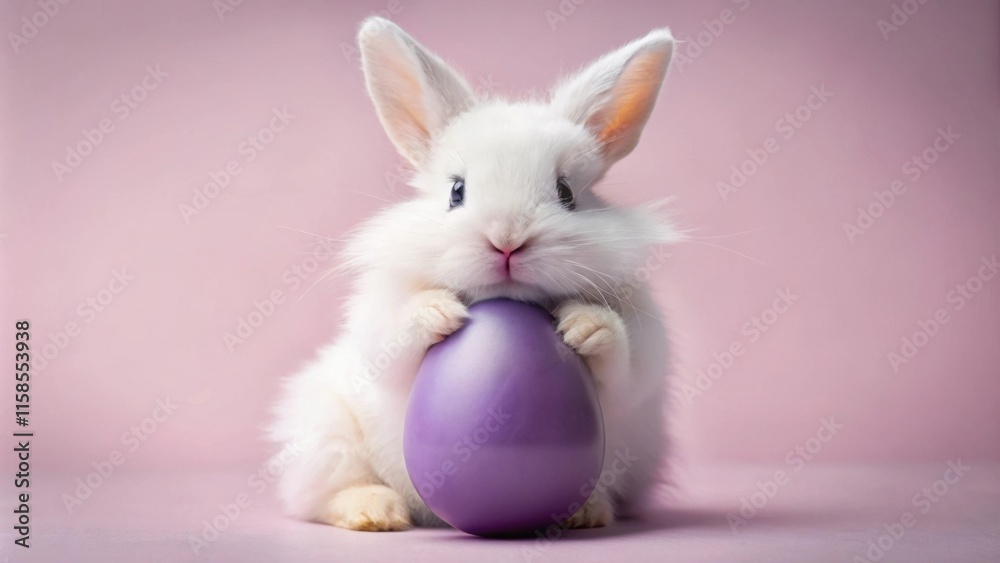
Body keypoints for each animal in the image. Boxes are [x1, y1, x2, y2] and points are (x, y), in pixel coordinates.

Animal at [268, 16, 680, 531]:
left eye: (566, 193)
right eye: (456, 192)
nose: (507, 240)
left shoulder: (644, 347)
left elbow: (627, 367)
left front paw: (585, 325)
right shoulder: (379, 322)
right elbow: (393, 345)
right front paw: (438, 312)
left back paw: (586, 513)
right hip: (325, 437)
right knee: (326, 494)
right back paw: (375, 512)